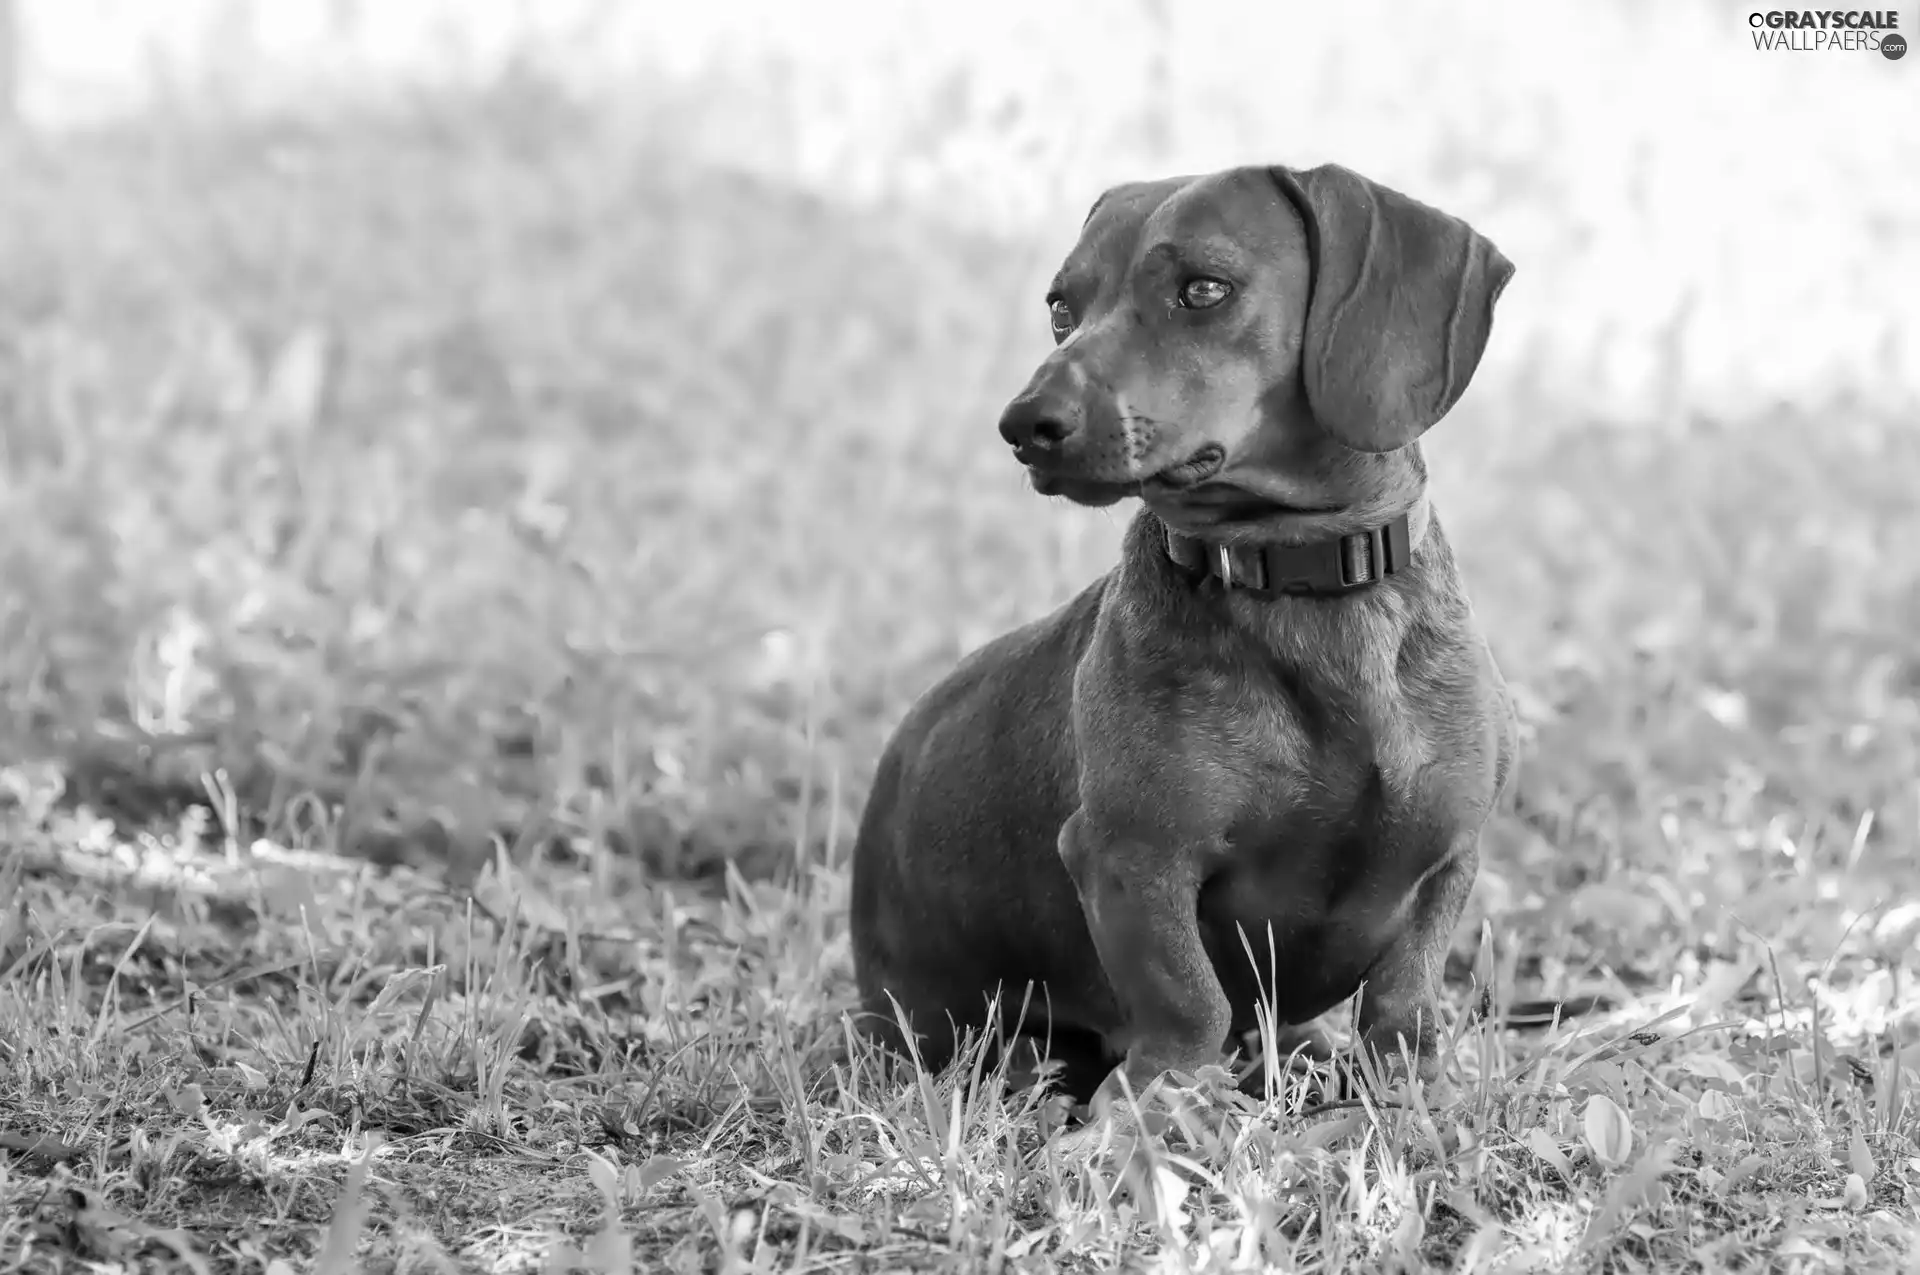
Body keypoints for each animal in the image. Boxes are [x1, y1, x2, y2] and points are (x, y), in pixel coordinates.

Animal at [856, 164, 1528, 1113]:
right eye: (1061, 308)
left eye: (1204, 289)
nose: (1025, 423)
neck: (1301, 582)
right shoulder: (1132, 855)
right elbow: (1187, 999)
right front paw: (1159, 1104)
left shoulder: (1447, 851)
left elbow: (1405, 998)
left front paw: (1412, 1089)